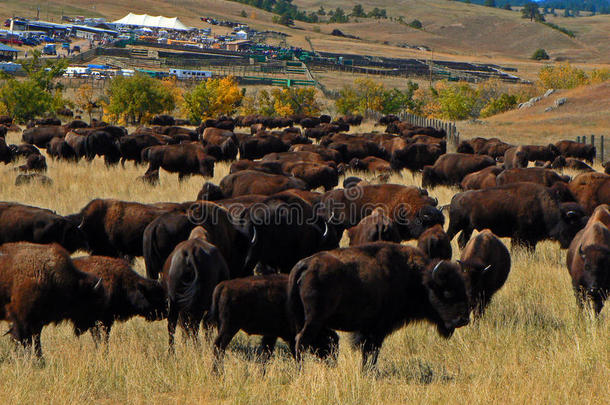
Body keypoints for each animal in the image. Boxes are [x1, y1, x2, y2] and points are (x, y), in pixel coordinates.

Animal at [288, 243, 468, 370]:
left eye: (463, 289)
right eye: (447, 291)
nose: (463, 319)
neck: (416, 278)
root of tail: (305, 264)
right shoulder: (378, 329)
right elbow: (372, 351)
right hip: (314, 320)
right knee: (301, 341)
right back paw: (301, 371)